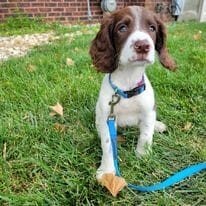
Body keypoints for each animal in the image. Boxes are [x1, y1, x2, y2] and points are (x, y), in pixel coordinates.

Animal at [89, 6, 176, 180]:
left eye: (152, 28)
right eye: (122, 28)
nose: (143, 45)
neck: (128, 81)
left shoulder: (148, 111)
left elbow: (146, 136)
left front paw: (143, 156)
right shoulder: (107, 116)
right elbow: (108, 144)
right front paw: (107, 171)